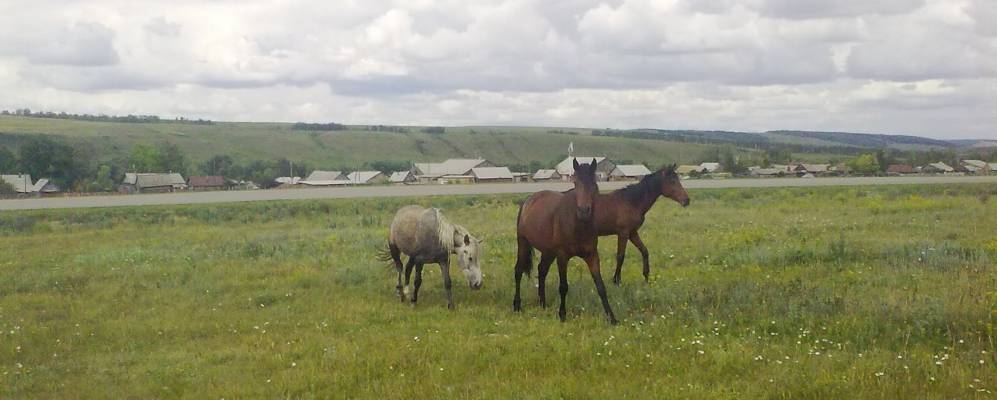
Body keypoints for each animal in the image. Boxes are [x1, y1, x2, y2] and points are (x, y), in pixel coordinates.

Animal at [512, 158, 616, 324]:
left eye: (593, 183)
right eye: (575, 182)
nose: (584, 211)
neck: (577, 225)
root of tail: (529, 200)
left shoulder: (592, 255)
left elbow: (600, 286)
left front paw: (611, 317)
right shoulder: (562, 256)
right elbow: (563, 286)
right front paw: (562, 314)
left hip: (548, 252)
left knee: (542, 270)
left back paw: (542, 303)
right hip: (523, 243)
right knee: (518, 271)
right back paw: (517, 305)